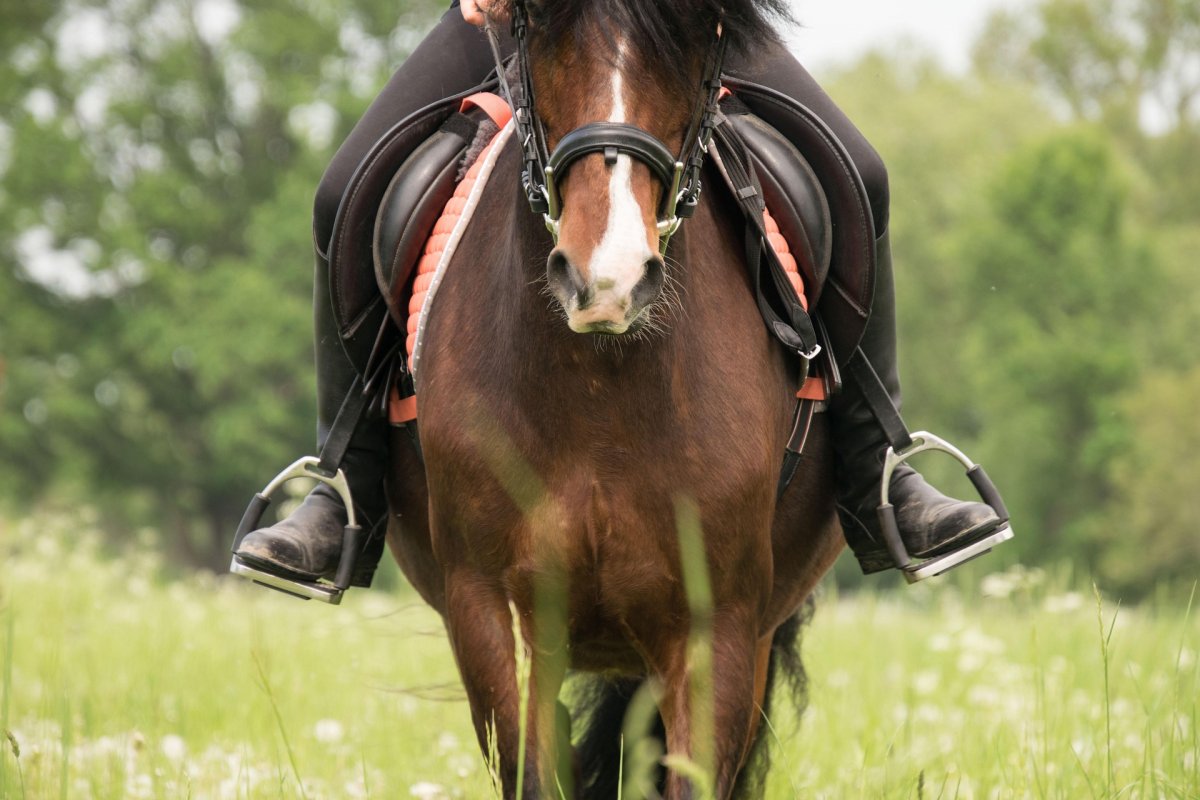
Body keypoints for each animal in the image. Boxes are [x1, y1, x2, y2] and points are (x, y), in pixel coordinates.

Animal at [384, 0, 843, 795]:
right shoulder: (491, 608)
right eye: (540, 38)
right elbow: (532, 771)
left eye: (697, 48)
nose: (608, 280)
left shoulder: (717, 627)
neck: (601, 396)